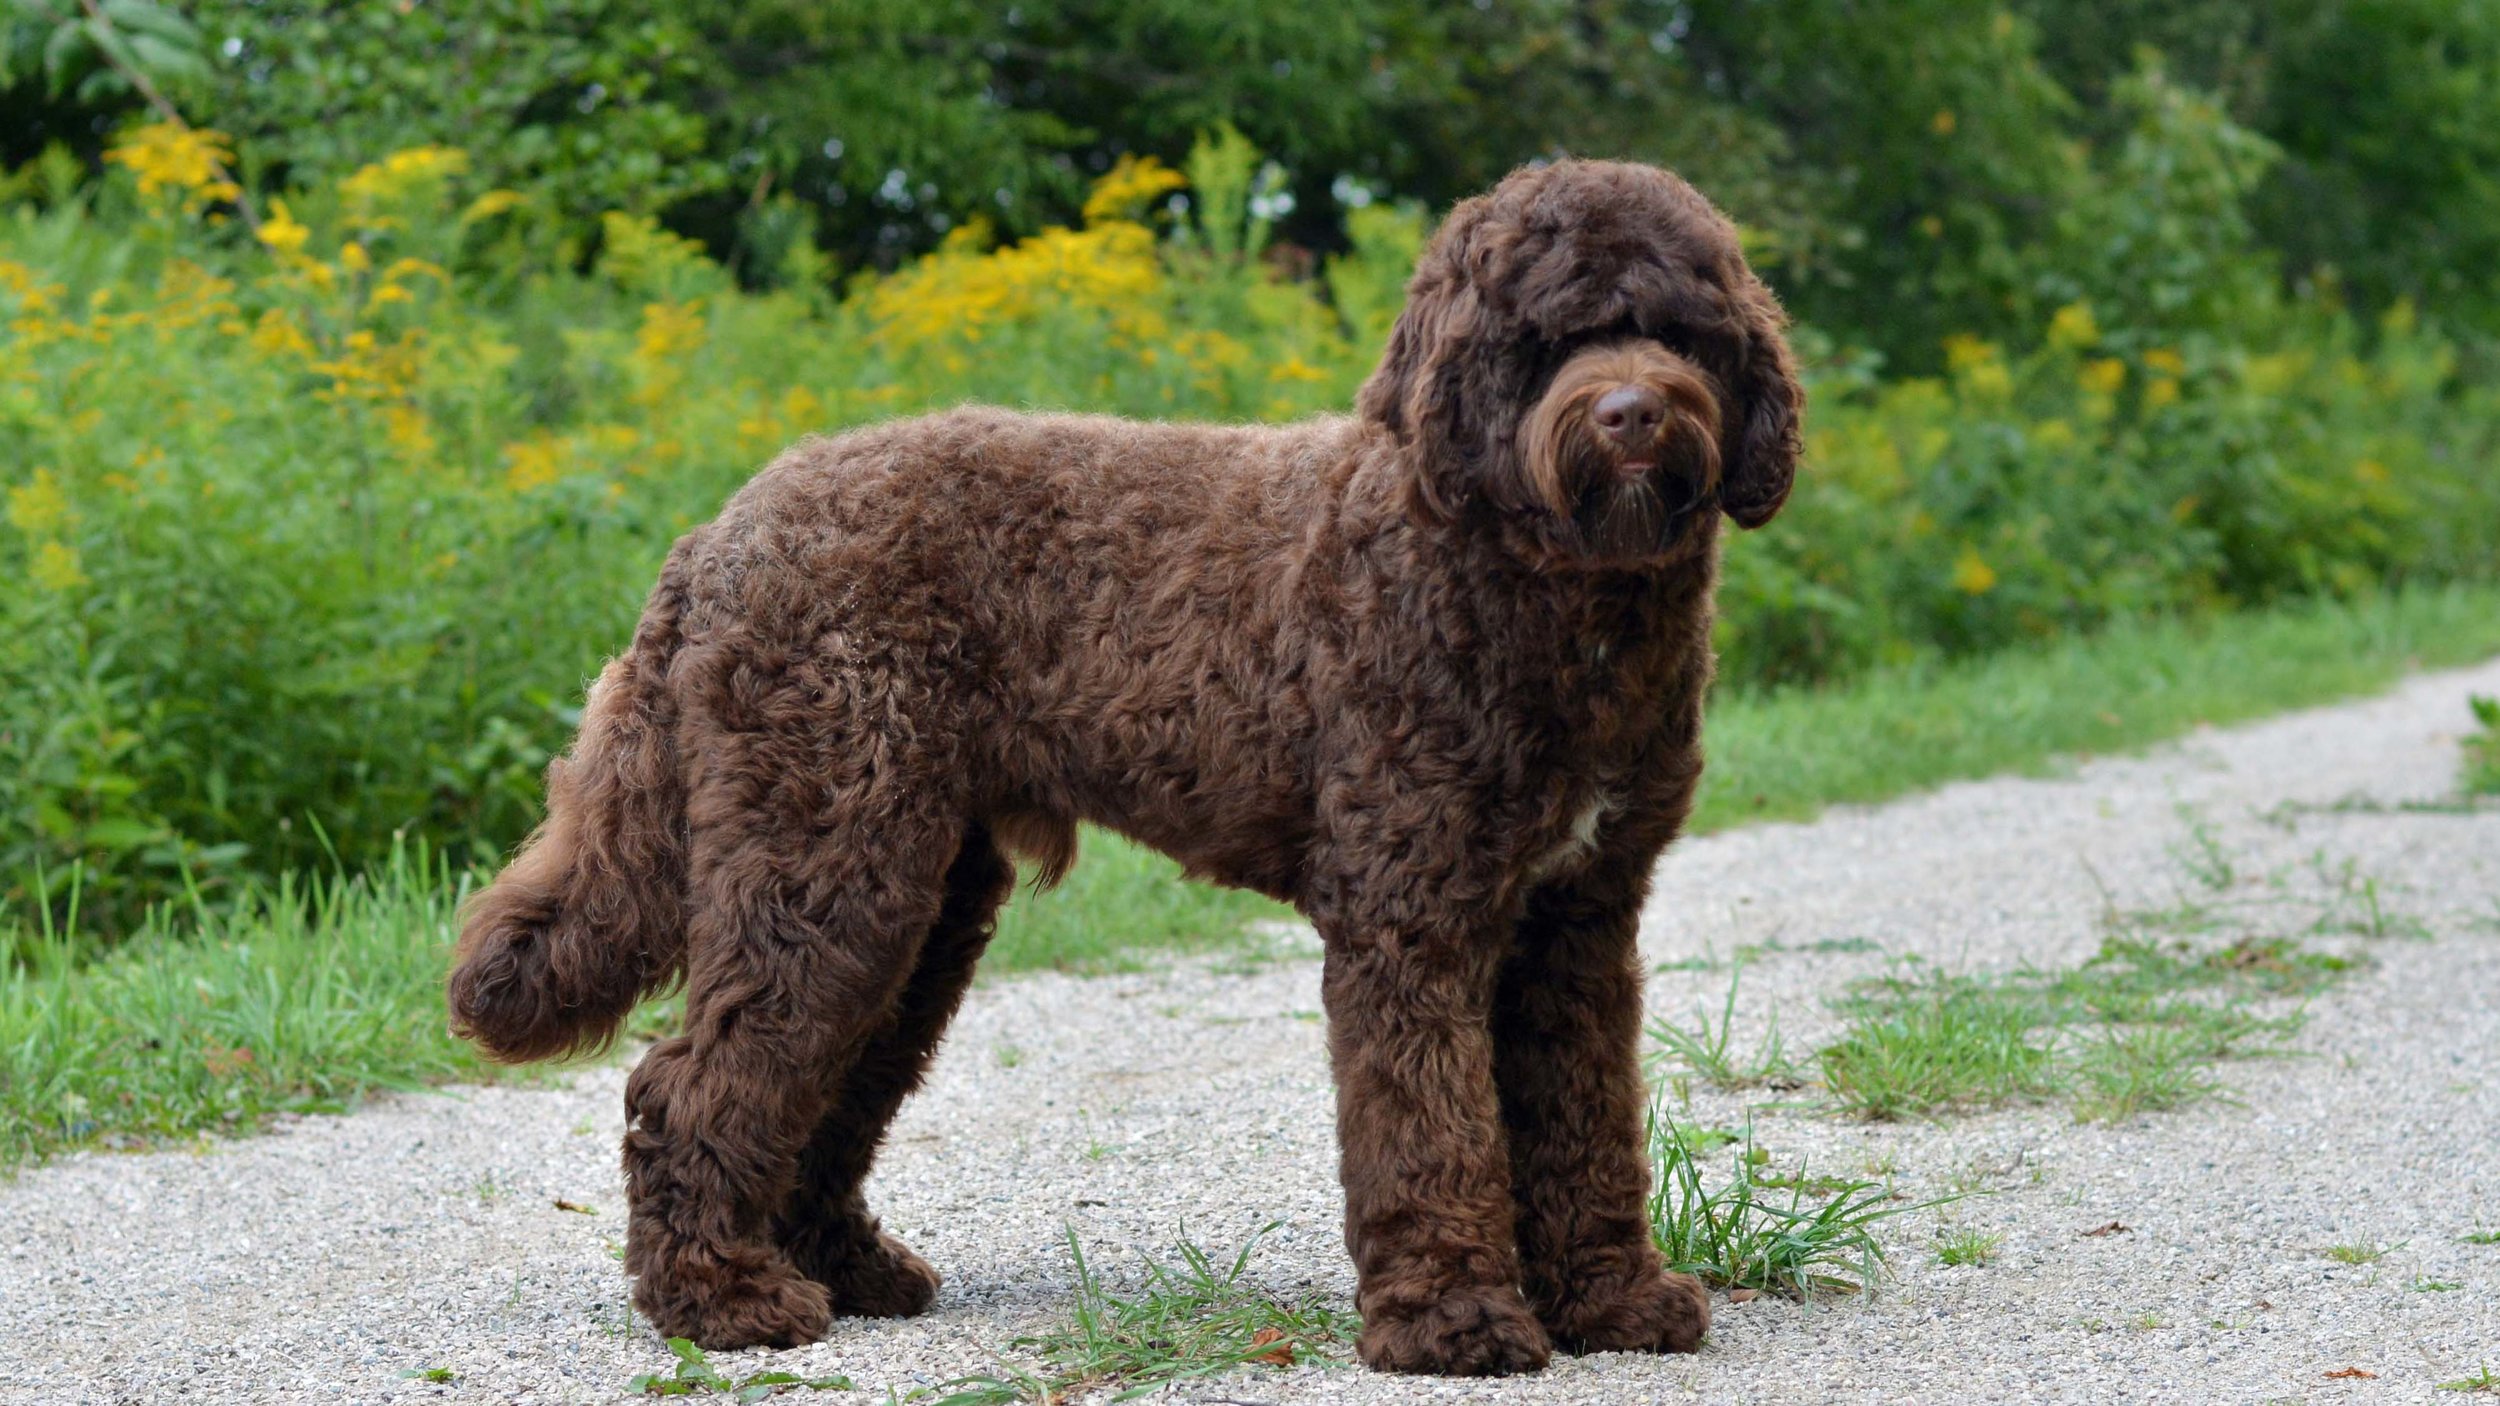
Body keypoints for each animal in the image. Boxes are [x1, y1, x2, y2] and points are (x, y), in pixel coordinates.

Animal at [445, 158, 1800, 1370]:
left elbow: (1583, 1119)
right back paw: (718, 1300)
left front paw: (1609, 1299)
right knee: (685, 1086)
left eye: (1679, 330)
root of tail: (717, 535)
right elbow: (1433, 1129)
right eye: (1544, 339)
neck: (1541, 589)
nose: (1631, 413)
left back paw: (846, 1268)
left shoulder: (1577, 918)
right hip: (825, 866)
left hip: (913, 898)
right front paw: (1454, 1321)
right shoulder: (1413, 912)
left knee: (826, 1088)